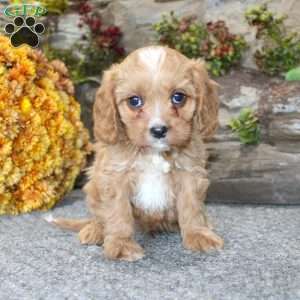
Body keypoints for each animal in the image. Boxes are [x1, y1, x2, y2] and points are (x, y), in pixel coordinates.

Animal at [48, 45, 224, 262]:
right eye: (134, 101)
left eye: (178, 97)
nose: (158, 130)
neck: (154, 153)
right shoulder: (115, 177)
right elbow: (118, 212)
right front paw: (121, 244)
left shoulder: (189, 172)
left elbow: (191, 206)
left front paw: (198, 233)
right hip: (94, 185)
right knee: (98, 217)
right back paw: (95, 230)